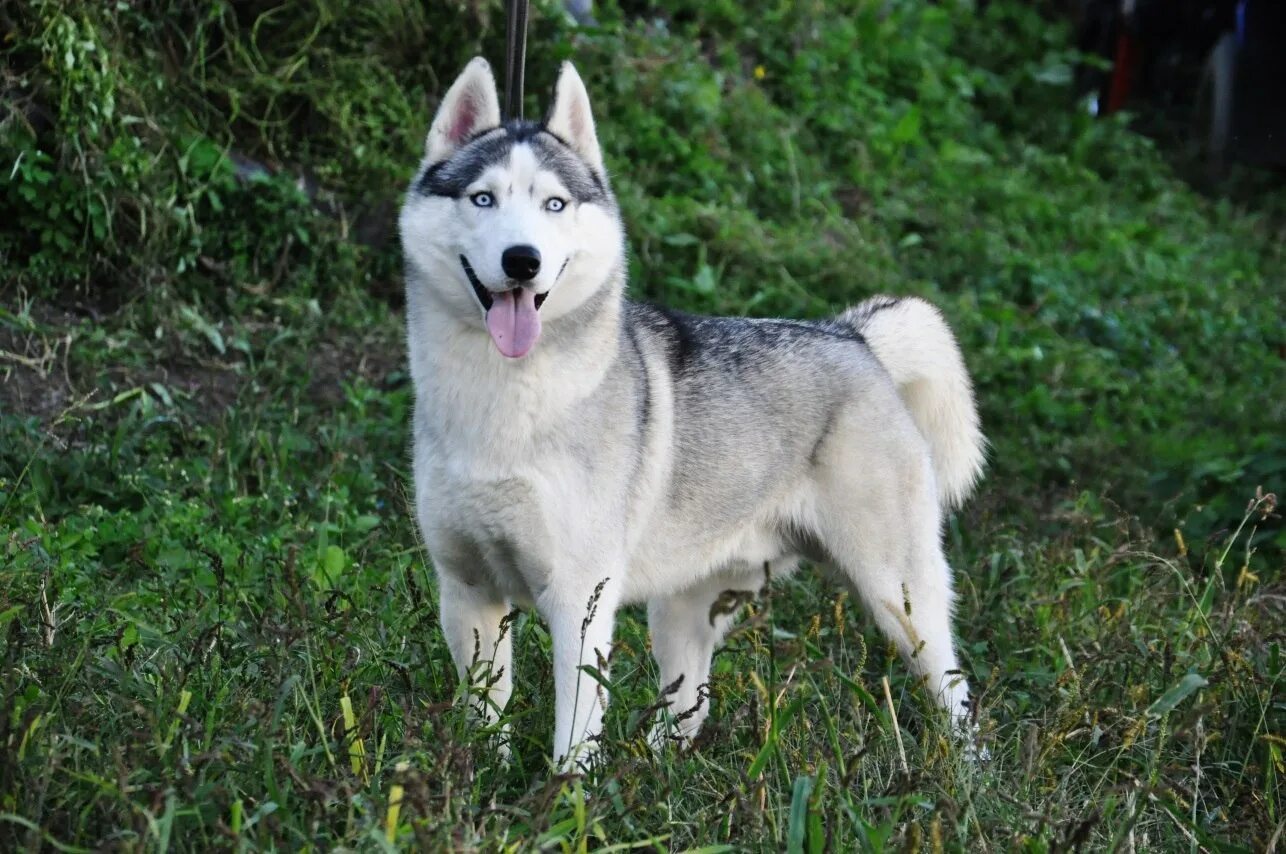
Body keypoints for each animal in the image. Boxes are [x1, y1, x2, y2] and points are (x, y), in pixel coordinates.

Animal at [401, 58, 982, 766]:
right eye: (482, 199)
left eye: (554, 204)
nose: (522, 261)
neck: (505, 406)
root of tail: (852, 336)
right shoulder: (468, 593)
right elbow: (485, 718)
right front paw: (478, 781)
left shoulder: (579, 603)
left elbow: (573, 738)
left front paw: (565, 795)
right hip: (681, 612)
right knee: (687, 709)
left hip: (900, 599)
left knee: (955, 693)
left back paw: (969, 779)